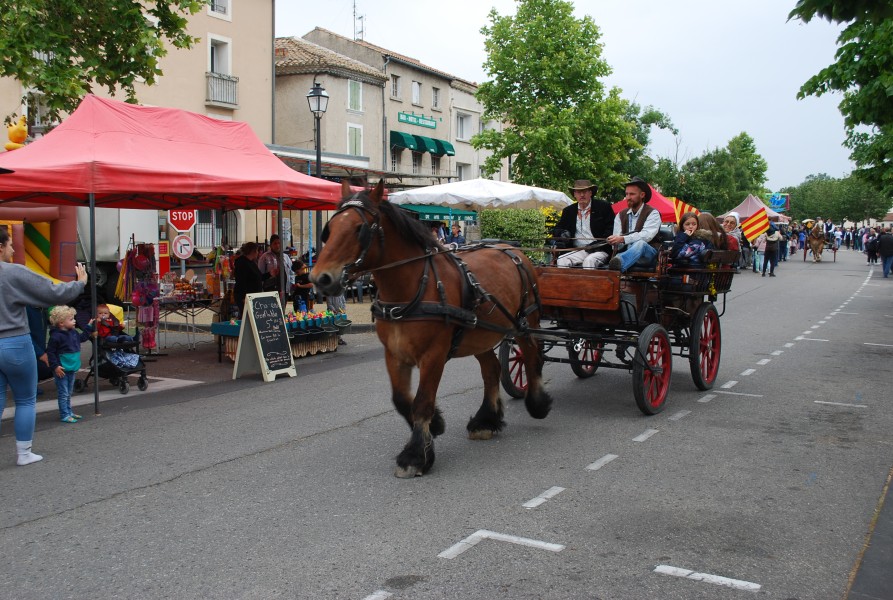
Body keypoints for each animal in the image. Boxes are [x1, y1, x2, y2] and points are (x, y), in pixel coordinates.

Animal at [312, 180, 552, 476]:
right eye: (330, 229)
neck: (412, 289)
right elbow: (402, 399)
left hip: (525, 323)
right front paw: (435, 426)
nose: (320, 278)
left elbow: (422, 401)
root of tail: (513, 249)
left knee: (531, 356)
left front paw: (415, 456)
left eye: (359, 228)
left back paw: (537, 403)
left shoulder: (433, 356)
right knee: (491, 369)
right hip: (478, 334)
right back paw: (486, 420)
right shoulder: (394, 354)